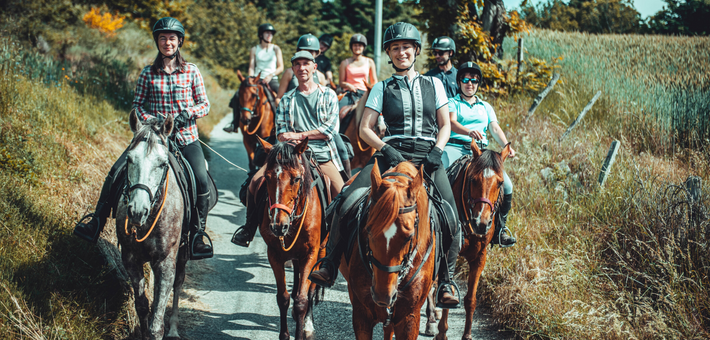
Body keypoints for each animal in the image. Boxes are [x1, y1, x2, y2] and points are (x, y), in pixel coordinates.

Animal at [117, 111, 189, 338]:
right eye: (129, 159)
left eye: (162, 164)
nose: (137, 211)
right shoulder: (130, 259)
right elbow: (142, 306)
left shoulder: (166, 265)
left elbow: (157, 322)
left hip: (182, 256)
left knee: (178, 285)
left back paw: (174, 329)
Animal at [258, 136, 328, 340]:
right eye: (267, 177)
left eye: (296, 178)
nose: (278, 226)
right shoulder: (274, 255)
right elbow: (283, 298)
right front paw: (285, 335)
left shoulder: (311, 255)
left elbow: (302, 301)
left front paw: (303, 328)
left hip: (320, 252)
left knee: (310, 290)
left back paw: (307, 324)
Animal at [434, 141, 512, 340]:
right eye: (473, 180)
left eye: (500, 183)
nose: (481, 223)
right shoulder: (449, 253)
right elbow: (447, 289)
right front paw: (441, 332)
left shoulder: (480, 258)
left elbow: (470, 299)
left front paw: (467, 335)